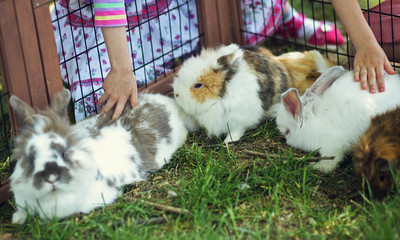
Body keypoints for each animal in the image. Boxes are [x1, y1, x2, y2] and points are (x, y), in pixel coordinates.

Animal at [172, 43, 332, 142]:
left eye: (198, 85)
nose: (176, 95)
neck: (220, 98)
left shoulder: (239, 119)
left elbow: (236, 131)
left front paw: (228, 142)